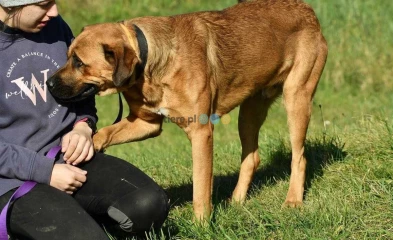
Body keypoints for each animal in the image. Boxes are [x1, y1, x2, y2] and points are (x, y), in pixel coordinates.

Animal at [46, 0, 328, 221]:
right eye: (68, 56)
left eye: (79, 62)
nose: (48, 84)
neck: (149, 60)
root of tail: (307, 10)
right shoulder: (145, 123)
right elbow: (105, 132)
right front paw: (82, 146)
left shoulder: (200, 132)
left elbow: (201, 187)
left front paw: (202, 224)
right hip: (249, 111)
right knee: (252, 158)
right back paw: (236, 201)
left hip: (296, 97)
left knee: (299, 157)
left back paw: (293, 201)